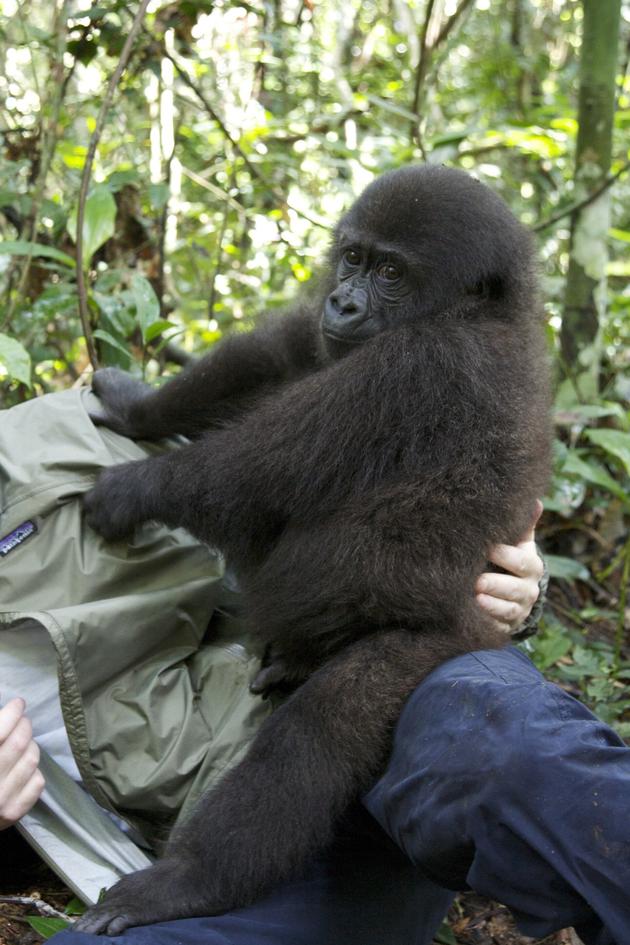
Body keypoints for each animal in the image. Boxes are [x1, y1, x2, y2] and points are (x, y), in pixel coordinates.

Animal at [74, 164, 552, 935]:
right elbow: (281, 351)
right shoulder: (337, 339)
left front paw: (133, 489)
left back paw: (188, 882)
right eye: (354, 257)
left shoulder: (421, 363)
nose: (346, 300)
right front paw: (136, 405)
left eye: (392, 272)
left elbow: (256, 473)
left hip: (430, 642)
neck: (485, 314)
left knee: (320, 735)